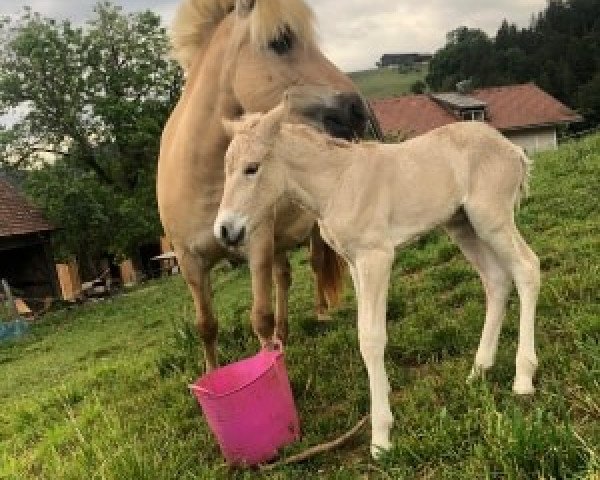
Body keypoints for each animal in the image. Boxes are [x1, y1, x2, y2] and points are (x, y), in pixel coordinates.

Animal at [157, 0, 370, 372]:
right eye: (281, 41)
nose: (358, 109)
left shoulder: (256, 244)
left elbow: (260, 318)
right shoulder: (189, 262)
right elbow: (206, 326)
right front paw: (212, 375)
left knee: (316, 265)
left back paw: (322, 313)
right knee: (284, 275)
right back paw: (285, 335)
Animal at [214, 100, 540, 458]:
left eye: (252, 168)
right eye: (225, 169)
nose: (225, 231)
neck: (337, 183)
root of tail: (511, 148)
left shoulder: (377, 257)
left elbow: (371, 339)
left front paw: (381, 436)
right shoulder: (355, 263)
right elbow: (362, 334)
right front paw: (383, 408)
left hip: (491, 219)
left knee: (527, 269)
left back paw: (523, 378)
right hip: (462, 225)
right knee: (496, 280)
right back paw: (479, 370)